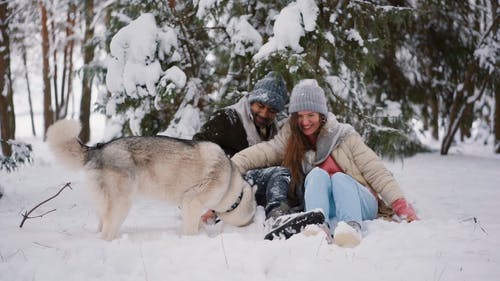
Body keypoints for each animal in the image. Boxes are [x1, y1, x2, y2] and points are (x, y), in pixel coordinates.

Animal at [46, 119, 256, 240]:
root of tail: (99, 148)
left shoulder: (190, 207)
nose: (253, 223)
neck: (231, 187)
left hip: (106, 204)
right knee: (107, 234)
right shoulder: (191, 201)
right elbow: (190, 230)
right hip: (122, 204)